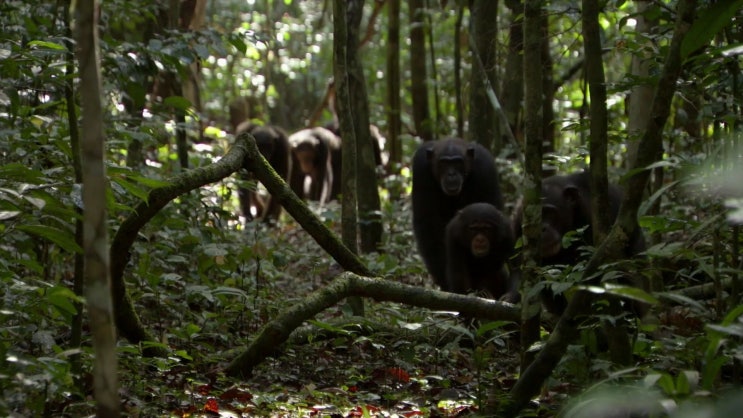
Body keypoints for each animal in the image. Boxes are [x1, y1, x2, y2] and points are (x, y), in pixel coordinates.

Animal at [412, 139, 506, 292]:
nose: (451, 174)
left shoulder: (486, 167)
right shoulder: (420, 168)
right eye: (444, 163)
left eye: (457, 162)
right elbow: (428, 222)